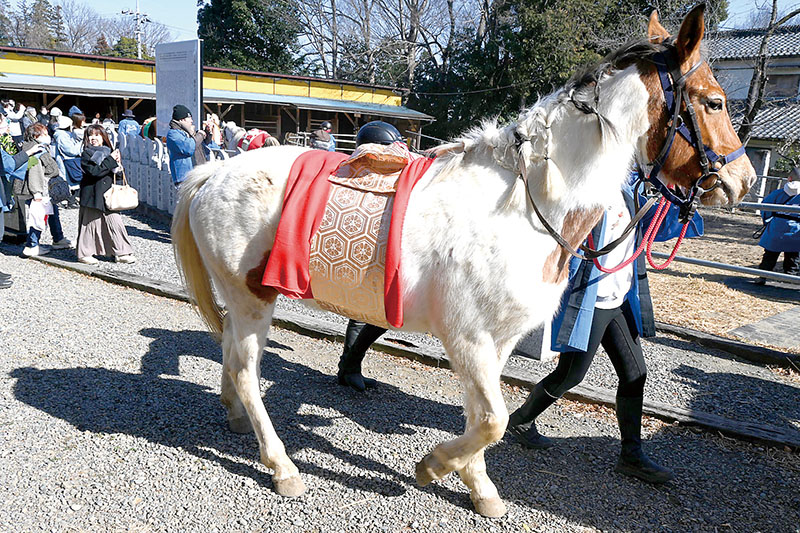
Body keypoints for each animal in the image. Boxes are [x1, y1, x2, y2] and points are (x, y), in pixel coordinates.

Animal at [171, 7, 755, 517]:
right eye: (715, 102)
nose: (743, 180)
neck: (527, 203)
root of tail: (214, 172)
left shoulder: (498, 340)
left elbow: (484, 418)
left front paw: (478, 488)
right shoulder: (468, 337)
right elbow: (493, 420)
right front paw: (433, 466)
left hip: (243, 297)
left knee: (231, 354)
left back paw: (235, 417)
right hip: (252, 296)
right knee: (246, 369)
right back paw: (281, 465)